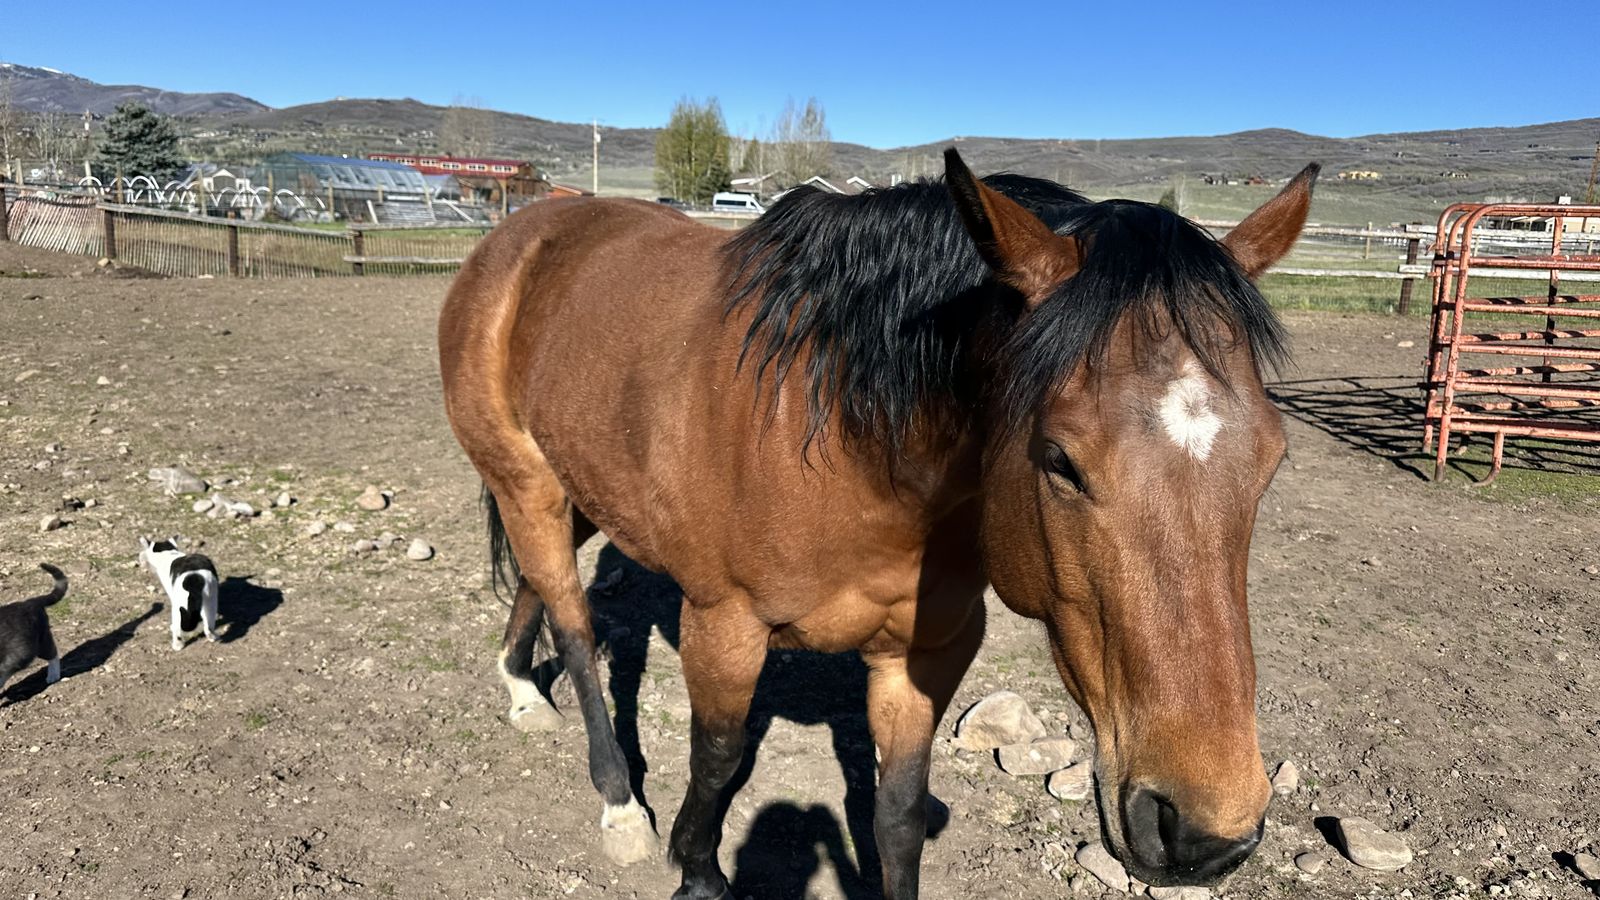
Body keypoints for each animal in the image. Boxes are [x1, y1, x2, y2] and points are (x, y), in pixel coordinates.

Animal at [438, 149, 1317, 899]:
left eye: (1273, 459)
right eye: (1060, 460)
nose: (1207, 833)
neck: (850, 443)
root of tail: (520, 235)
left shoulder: (922, 656)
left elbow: (897, 817)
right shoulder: (722, 626)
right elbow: (717, 762)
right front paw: (695, 868)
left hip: (577, 486)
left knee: (539, 583)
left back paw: (520, 685)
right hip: (528, 482)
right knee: (575, 624)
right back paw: (618, 798)